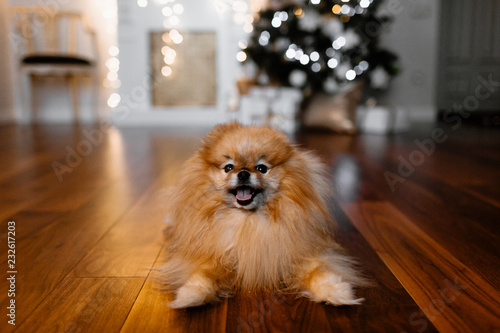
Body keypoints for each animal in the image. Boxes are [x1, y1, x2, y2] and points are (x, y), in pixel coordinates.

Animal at [160, 122, 364, 308]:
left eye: (261, 168)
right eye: (228, 167)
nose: (243, 173)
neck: (248, 221)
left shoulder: (300, 251)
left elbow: (320, 271)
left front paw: (336, 292)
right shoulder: (212, 254)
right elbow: (203, 273)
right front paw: (190, 294)